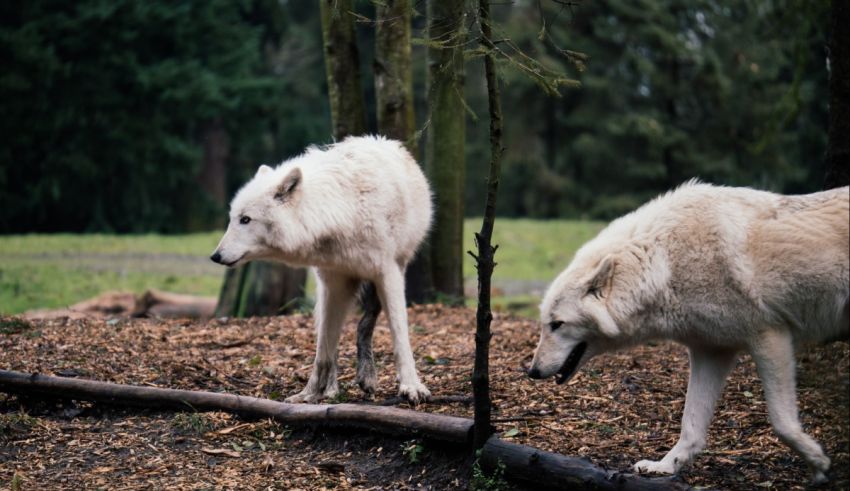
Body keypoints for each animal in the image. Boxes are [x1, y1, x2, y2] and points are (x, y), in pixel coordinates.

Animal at [211, 135, 434, 404]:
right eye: (233, 218)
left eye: (245, 219)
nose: (215, 256)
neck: (345, 211)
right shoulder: (333, 282)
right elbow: (323, 351)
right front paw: (310, 393)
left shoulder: (388, 273)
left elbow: (400, 337)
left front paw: (412, 386)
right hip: (329, 290)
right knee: (332, 338)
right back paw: (332, 388)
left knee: (364, 324)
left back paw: (366, 376)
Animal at [528, 182, 844, 484]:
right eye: (545, 323)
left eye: (557, 324)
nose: (531, 371)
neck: (664, 262)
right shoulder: (711, 351)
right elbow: (690, 425)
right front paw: (665, 466)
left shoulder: (770, 336)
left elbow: (782, 423)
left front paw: (818, 464)